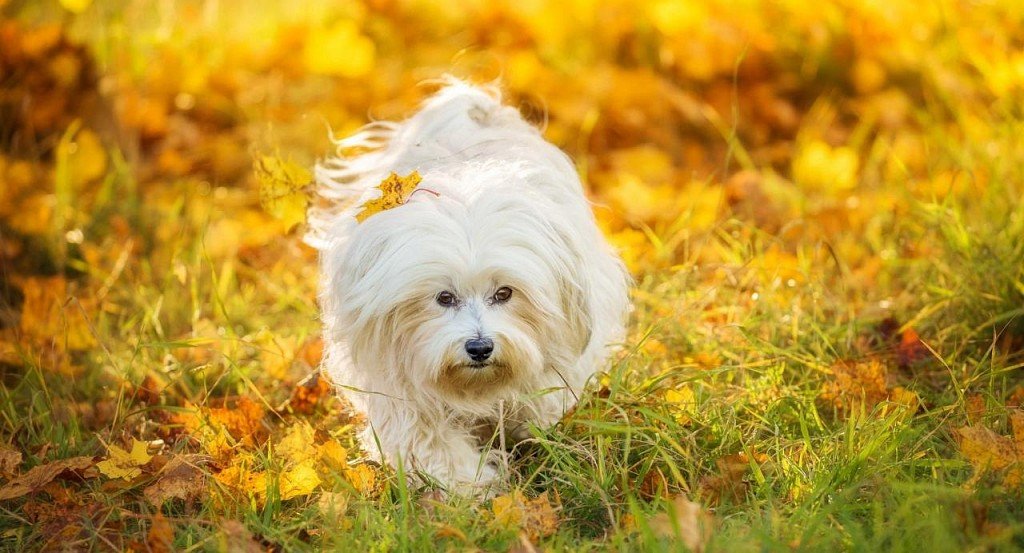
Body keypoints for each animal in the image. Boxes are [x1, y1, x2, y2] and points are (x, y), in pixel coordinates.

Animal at [303, 78, 630, 497]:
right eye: (444, 298)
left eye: (504, 293)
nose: (480, 347)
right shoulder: (399, 387)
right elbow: (429, 444)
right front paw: (472, 489)